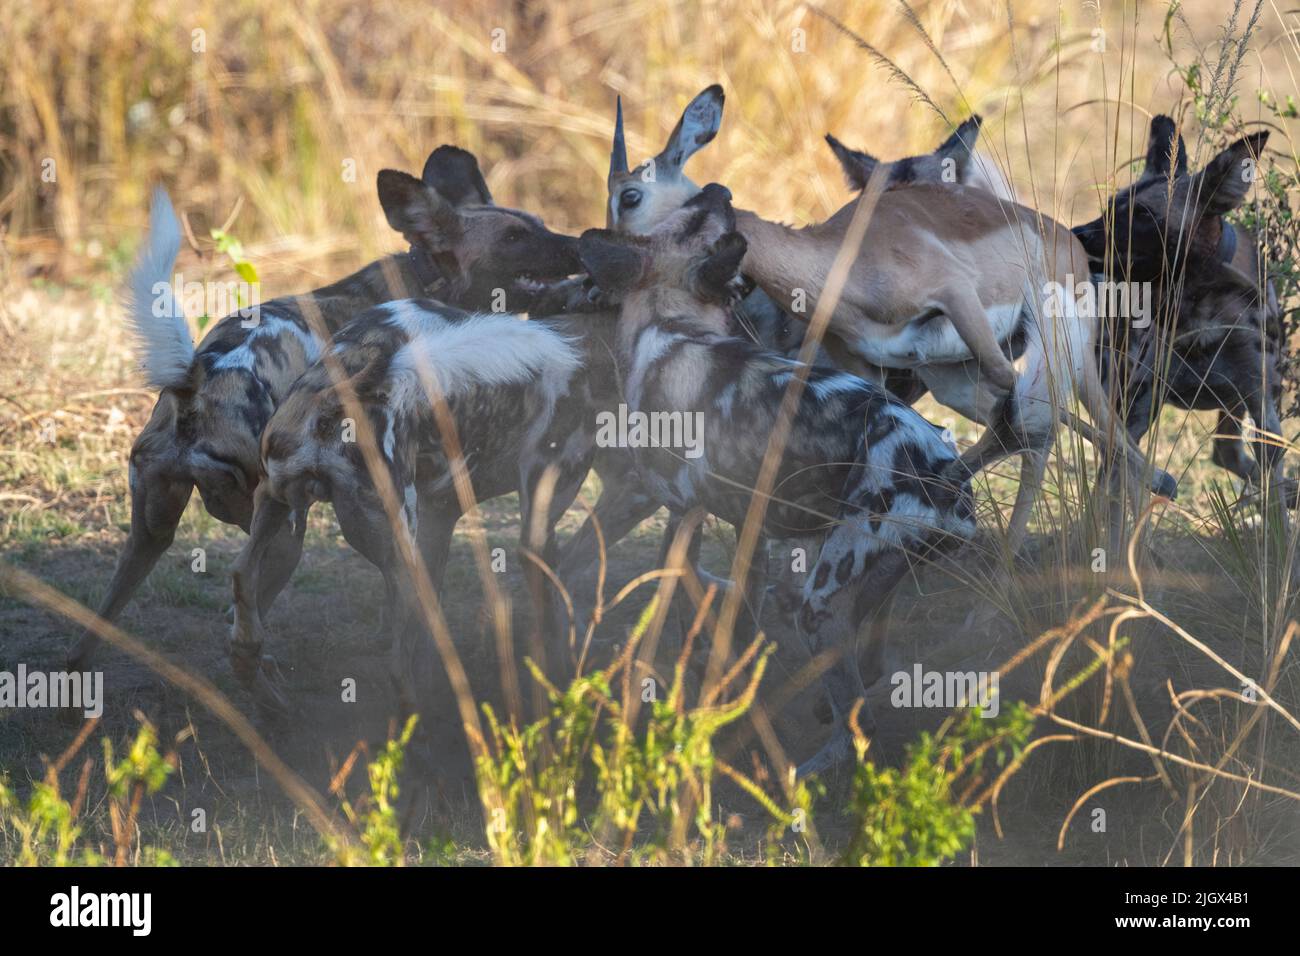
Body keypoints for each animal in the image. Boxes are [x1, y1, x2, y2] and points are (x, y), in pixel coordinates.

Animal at [69, 146, 582, 672]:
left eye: (539, 224)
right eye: (515, 238)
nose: (581, 246)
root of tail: (200, 383)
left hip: (151, 535)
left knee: (94, 631)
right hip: (284, 534)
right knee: (248, 606)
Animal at [578, 183, 978, 776]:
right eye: (695, 210)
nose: (718, 188)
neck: (670, 324)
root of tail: (943, 467)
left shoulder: (684, 511)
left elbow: (683, 587)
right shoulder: (748, 525)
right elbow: (733, 606)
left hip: (823, 601)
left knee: (859, 728)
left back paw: (810, 772)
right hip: (875, 581)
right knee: (868, 658)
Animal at [1072, 118, 1292, 509]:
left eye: (1143, 215)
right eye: (1111, 208)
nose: (1076, 233)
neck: (1197, 309)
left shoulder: (1262, 406)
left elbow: (1273, 499)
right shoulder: (1137, 411)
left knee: (1227, 455)